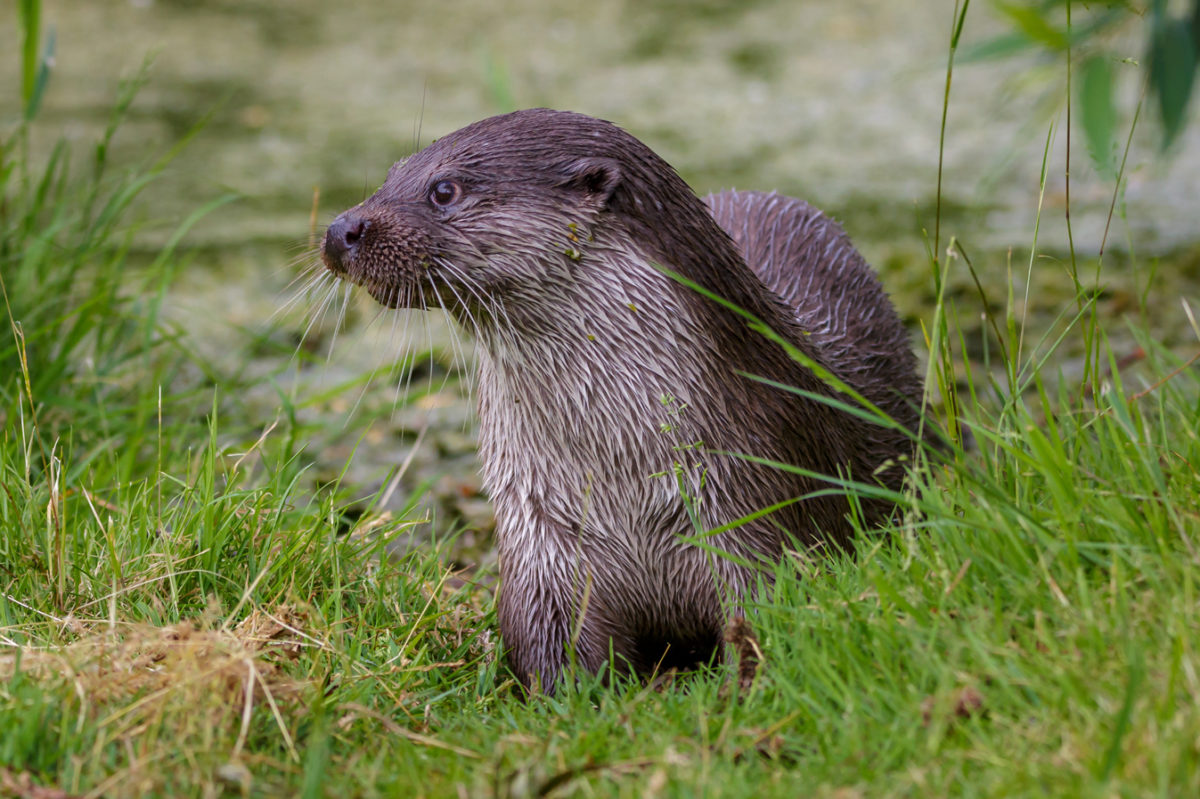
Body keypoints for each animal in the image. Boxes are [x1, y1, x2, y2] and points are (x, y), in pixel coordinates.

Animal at [319, 107, 916, 691]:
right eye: (391, 174)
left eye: (444, 189)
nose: (339, 229)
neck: (625, 484)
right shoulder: (543, 546)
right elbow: (550, 648)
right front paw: (574, 700)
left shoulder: (754, 513)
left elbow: (769, 615)